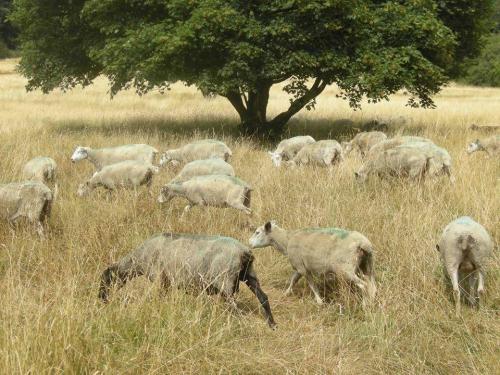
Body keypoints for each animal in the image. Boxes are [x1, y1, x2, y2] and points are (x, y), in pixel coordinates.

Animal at [97, 232, 278, 328]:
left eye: (104, 281)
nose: (101, 299)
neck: (138, 259)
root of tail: (244, 252)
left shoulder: (158, 279)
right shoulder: (166, 283)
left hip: (225, 281)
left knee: (235, 307)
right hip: (250, 275)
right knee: (263, 298)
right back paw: (272, 324)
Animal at [248, 223, 376, 306]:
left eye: (257, 232)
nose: (249, 242)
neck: (286, 240)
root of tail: (363, 243)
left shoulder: (302, 267)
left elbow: (311, 284)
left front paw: (319, 301)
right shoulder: (299, 267)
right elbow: (293, 280)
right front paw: (286, 293)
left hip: (345, 269)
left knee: (364, 285)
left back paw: (365, 305)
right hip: (367, 265)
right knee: (372, 285)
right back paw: (372, 302)